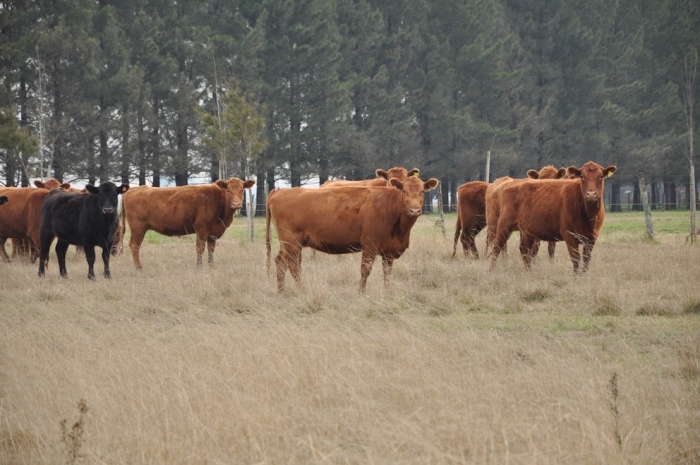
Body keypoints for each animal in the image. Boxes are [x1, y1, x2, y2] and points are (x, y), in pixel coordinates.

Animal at [266, 174, 438, 290]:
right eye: (404, 191)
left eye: (423, 191)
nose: (414, 210)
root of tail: (279, 191)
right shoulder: (369, 245)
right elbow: (365, 270)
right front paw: (361, 292)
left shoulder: (389, 252)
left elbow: (387, 273)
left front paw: (387, 292)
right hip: (292, 242)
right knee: (294, 265)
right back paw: (300, 290)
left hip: (286, 244)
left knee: (280, 262)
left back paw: (281, 291)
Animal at [486, 161, 616, 270]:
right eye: (582, 176)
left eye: (601, 176)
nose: (591, 194)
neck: (588, 216)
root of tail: (509, 184)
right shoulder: (570, 236)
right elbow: (575, 259)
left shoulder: (591, 239)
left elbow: (586, 259)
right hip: (502, 226)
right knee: (497, 247)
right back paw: (492, 270)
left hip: (527, 232)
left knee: (524, 250)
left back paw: (529, 271)